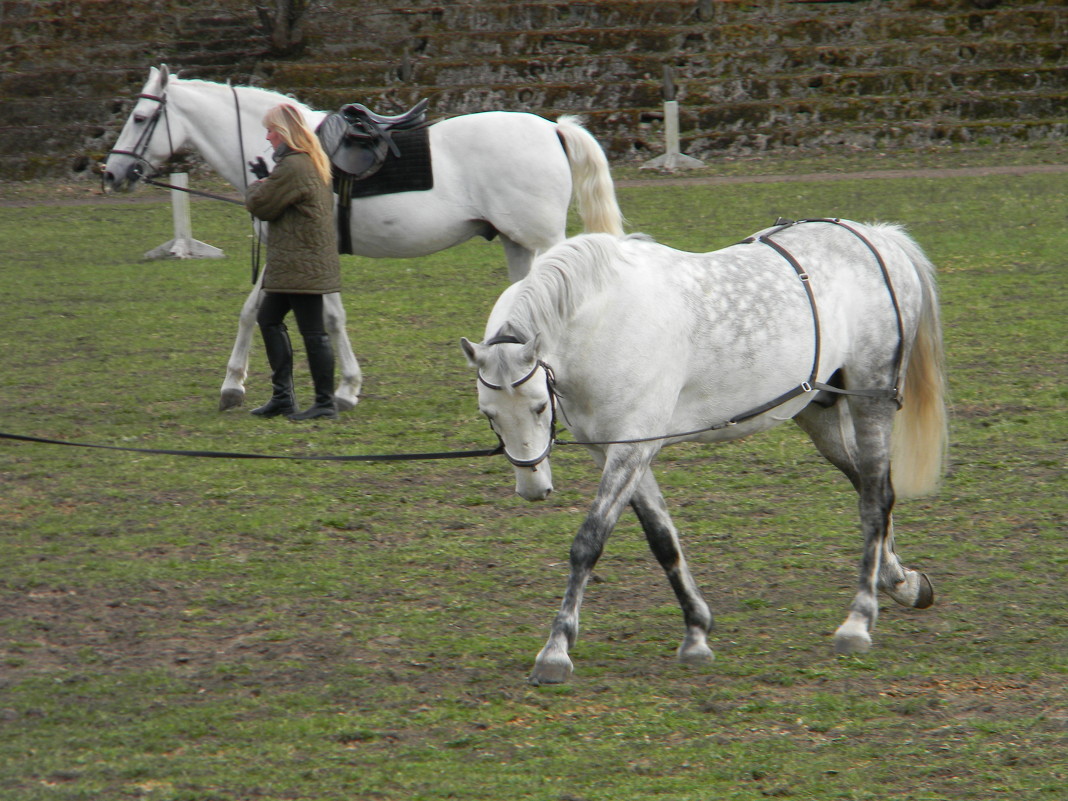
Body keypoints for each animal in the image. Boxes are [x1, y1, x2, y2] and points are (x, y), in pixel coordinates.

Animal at [104, 65, 623, 410]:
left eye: (138, 118)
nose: (111, 174)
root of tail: (552, 129)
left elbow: (309, 317)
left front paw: (340, 389)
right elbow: (267, 311)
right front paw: (241, 385)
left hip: (542, 241)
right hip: (519, 243)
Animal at [463, 217, 948, 683]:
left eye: (539, 406)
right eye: (488, 414)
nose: (532, 486)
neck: (601, 322)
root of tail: (875, 237)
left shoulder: (631, 450)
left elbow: (589, 542)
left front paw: (556, 650)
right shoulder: (620, 449)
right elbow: (662, 539)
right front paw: (696, 632)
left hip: (872, 400)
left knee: (875, 500)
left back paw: (859, 621)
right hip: (819, 411)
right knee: (870, 486)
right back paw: (900, 582)